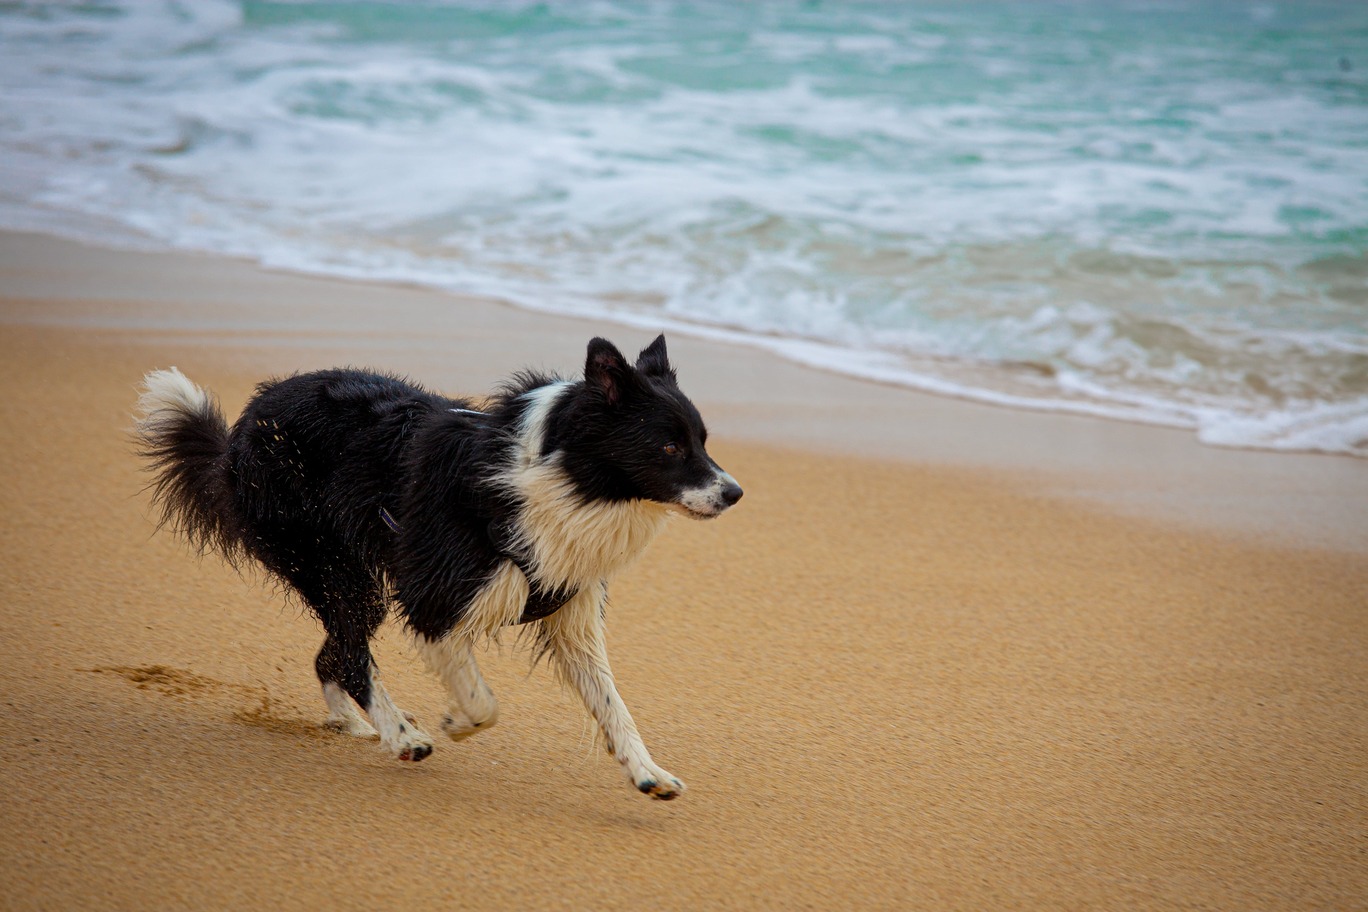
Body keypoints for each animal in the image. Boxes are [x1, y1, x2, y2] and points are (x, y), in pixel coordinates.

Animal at [133, 334, 744, 798]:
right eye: (669, 447)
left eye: (702, 440)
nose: (735, 493)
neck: (553, 474)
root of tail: (239, 434)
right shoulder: (434, 598)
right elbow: (484, 701)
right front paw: (452, 722)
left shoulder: (570, 609)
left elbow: (614, 704)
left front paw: (649, 773)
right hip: (333, 566)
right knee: (349, 653)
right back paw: (402, 736)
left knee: (331, 653)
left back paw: (354, 723)